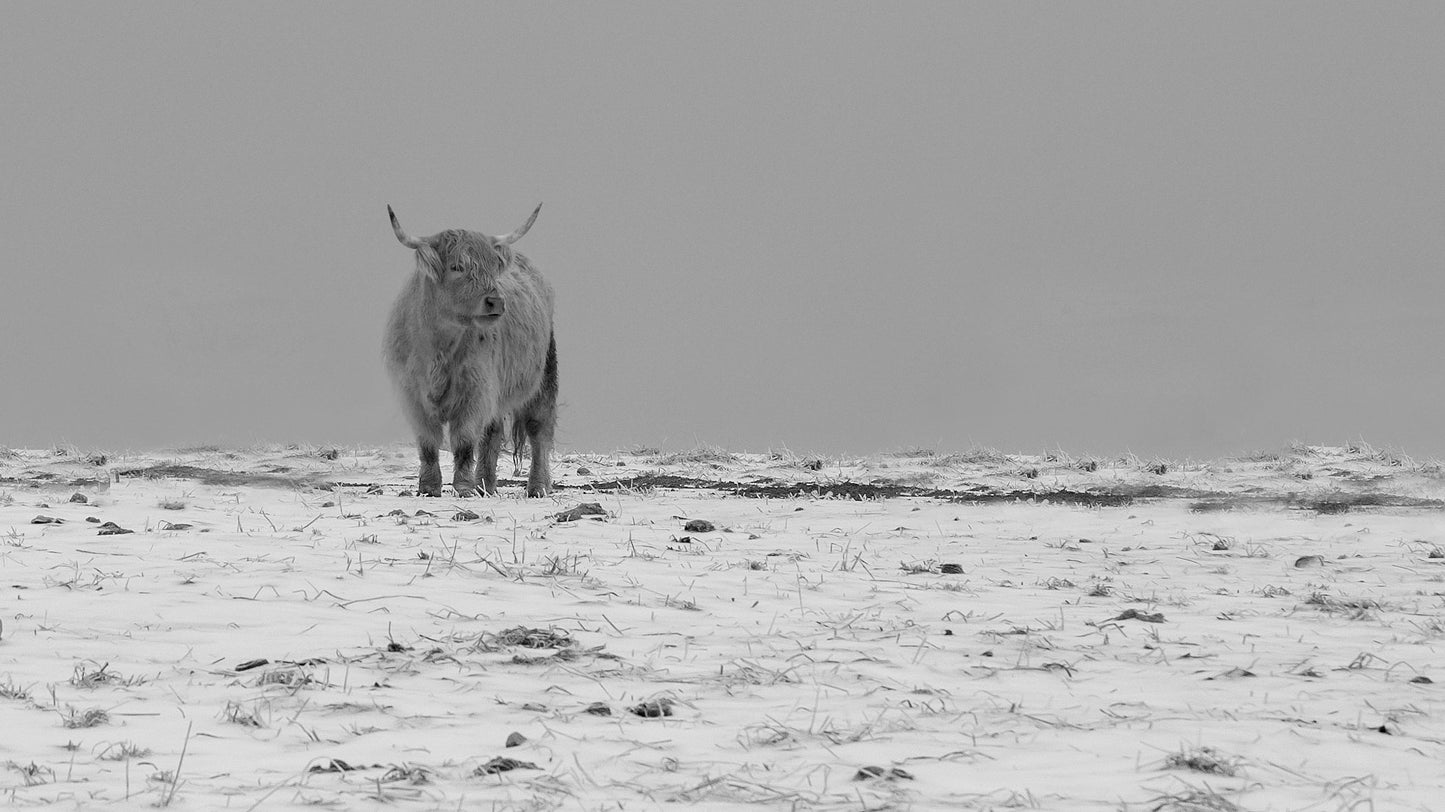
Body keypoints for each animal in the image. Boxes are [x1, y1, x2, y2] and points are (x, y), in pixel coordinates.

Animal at [382, 204, 558, 498]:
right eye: (457, 266)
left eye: (492, 267)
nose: (496, 301)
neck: (439, 347)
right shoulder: (413, 397)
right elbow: (428, 444)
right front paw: (429, 488)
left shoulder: (475, 392)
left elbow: (464, 441)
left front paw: (463, 487)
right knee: (493, 432)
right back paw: (486, 485)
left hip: (542, 376)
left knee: (539, 429)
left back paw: (537, 487)